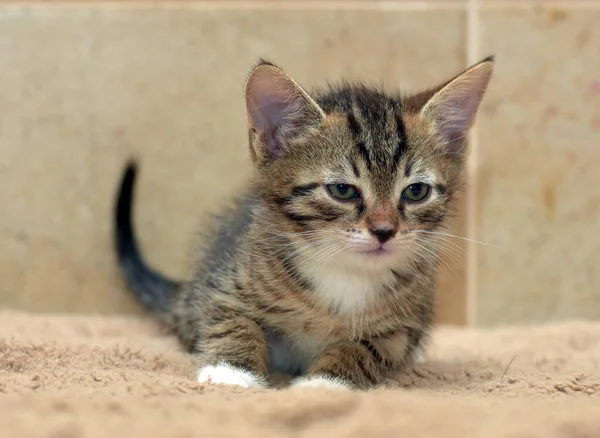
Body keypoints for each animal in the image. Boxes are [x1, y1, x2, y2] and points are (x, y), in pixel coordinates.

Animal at [112, 58, 492, 390]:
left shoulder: (400, 330)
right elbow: (234, 323)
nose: (384, 230)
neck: (345, 273)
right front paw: (231, 372)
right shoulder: (221, 287)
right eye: (342, 190)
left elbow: (364, 349)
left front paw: (325, 382)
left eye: (416, 191)